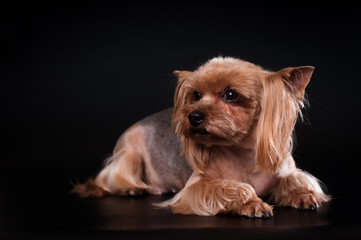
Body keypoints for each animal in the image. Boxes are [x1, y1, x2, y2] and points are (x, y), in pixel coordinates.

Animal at [72, 57, 330, 218]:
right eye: (195, 95)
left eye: (231, 94)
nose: (193, 116)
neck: (242, 151)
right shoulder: (197, 185)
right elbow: (233, 186)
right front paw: (252, 202)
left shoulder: (284, 169)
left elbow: (296, 179)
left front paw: (303, 195)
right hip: (129, 150)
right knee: (112, 176)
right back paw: (130, 188)